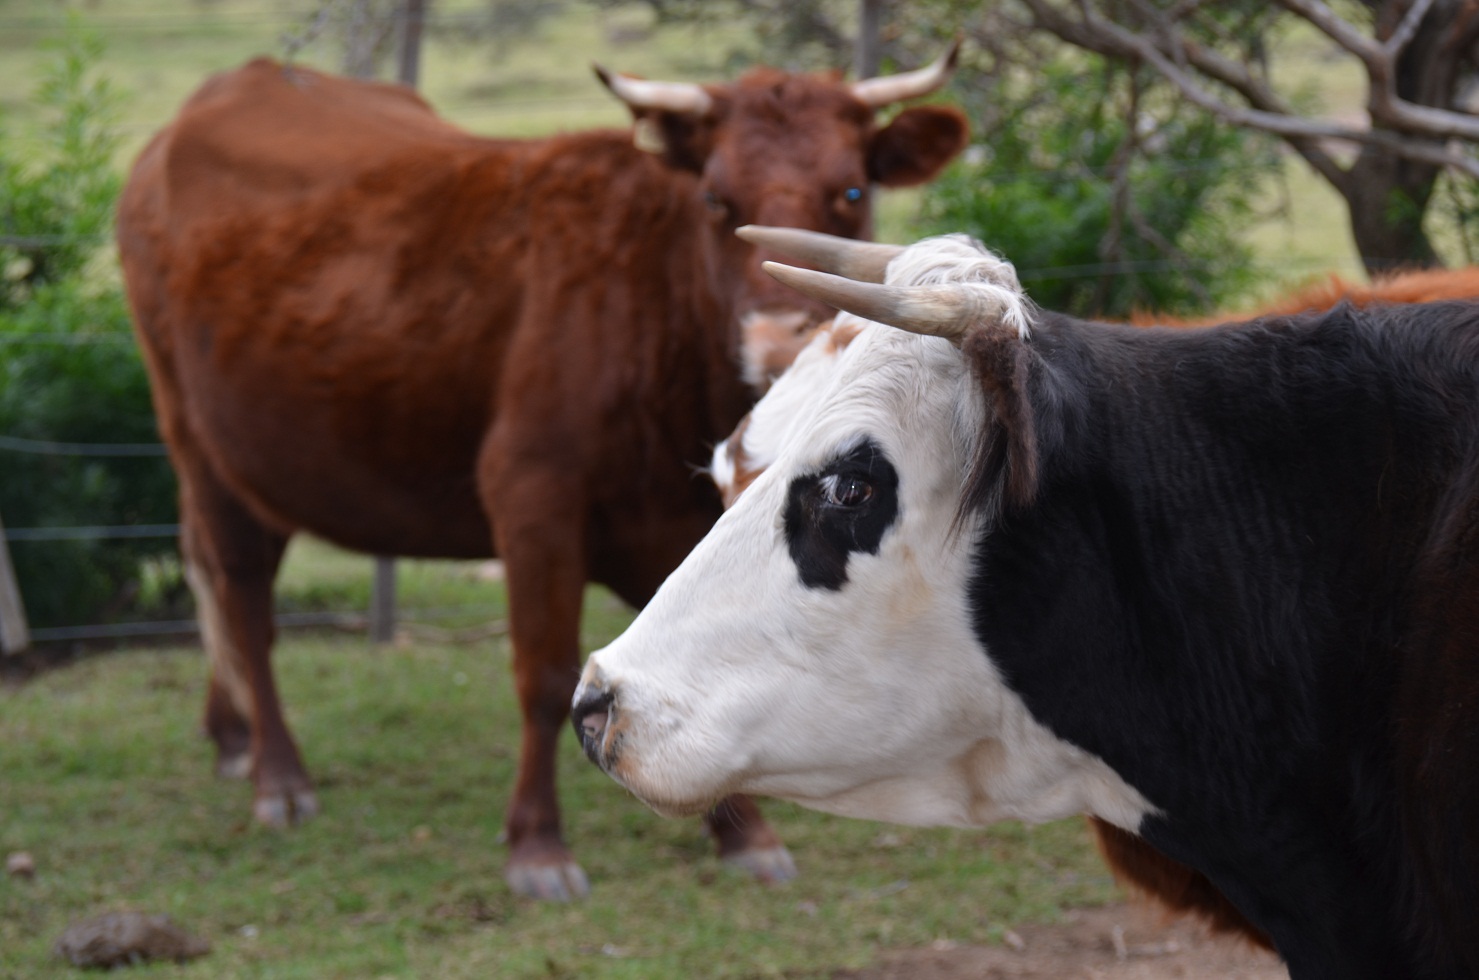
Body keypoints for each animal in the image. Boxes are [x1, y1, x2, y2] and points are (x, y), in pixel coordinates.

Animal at [115, 49, 970, 898]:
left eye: (851, 192)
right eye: (714, 196)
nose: (775, 338)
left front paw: (744, 834)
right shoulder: (533, 499)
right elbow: (545, 672)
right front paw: (536, 845)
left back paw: (230, 736)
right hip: (202, 447)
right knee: (243, 599)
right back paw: (278, 776)